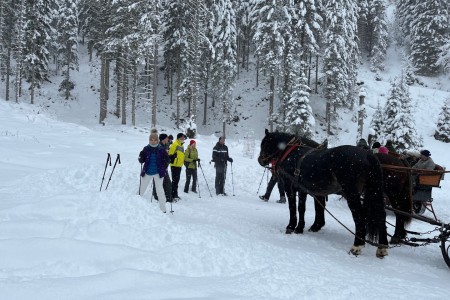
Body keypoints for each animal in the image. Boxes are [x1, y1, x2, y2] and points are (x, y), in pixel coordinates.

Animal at [258, 129, 388, 258]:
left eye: (264, 144)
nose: (260, 160)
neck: (292, 154)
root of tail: (368, 155)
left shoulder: (289, 187)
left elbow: (293, 208)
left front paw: (291, 227)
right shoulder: (303, 190)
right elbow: (302, 209)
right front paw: (300, 228)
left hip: (352, 194)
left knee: (359, 216)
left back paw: (357, 246)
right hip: (374, 192)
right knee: (381, 215)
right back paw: (382, 247)